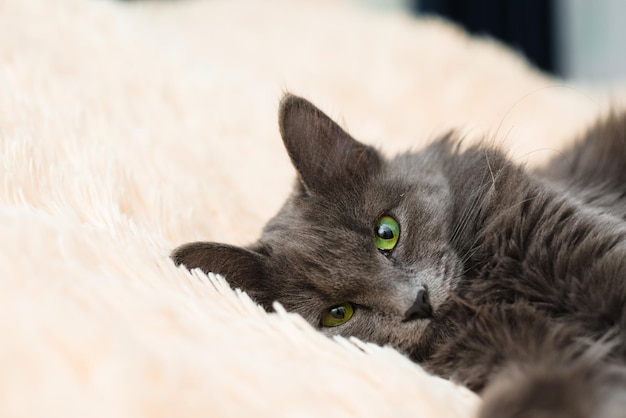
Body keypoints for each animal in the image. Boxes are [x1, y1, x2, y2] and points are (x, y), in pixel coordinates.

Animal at [173, 94, 624, 418]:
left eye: (386, 233)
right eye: (338, 314)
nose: (417, 302)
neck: (482, 297)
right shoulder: (519, 353)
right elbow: (549, 393)